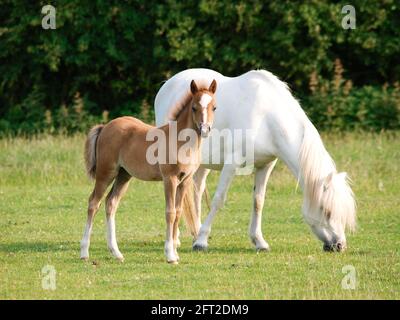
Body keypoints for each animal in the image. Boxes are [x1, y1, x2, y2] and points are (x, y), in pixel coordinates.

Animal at [80, 79, 217, 264]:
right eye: (194, 107)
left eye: (214, 107)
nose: (205, 129)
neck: (180, 142)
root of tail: (105, 126)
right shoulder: (170, 179)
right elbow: (170, 212)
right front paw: (170, 254)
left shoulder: (185, 180)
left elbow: (178, 212)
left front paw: (175, 252)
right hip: (105, 173)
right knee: (94, 203)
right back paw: (84, 252)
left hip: (124, 176)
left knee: (111, 203)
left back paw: (116, 252)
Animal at [154, 69, 356, 252]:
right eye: (326, 211)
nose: (340, 246)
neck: (266, 117)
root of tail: (168, 83)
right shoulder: (231, 164)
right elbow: (219, 199)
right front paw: (202, 242)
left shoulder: (266, 165)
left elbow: (258, 201)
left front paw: (259, 241)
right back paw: (179, 239)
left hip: (202, 163)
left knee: (196, 190)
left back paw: (195, 232)